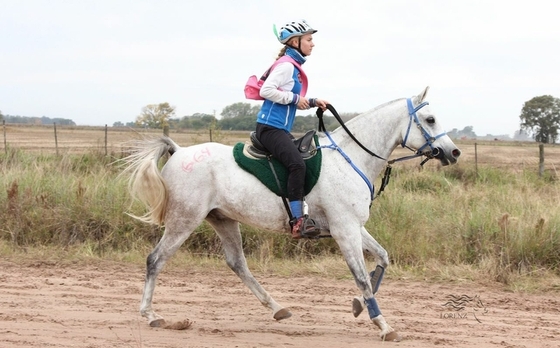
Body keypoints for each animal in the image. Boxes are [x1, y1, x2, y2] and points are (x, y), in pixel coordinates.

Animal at [123, 85, 464, 342]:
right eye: (430, 119)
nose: (454, 152)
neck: (351, 158)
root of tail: (179, 151)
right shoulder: (345, 230)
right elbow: (361, 277)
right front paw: (383, 324)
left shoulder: (354, 227)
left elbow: (382, 258)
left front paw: (359, 307)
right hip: (184, 220)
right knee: (156, 259)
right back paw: (151, 315)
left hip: (223, 219)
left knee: (237, 264)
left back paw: (277, 308)